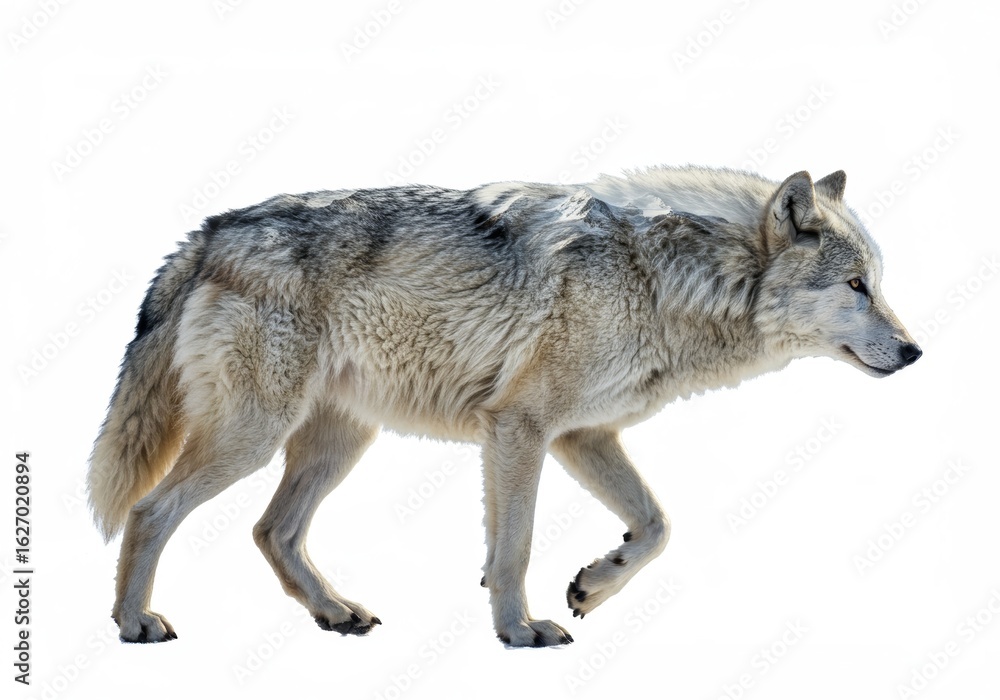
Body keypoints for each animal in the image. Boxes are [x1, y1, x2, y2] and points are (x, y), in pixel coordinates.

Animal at [88, 165, 921, 647]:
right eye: (856, 287)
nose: (916, 353)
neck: (668, 282)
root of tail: (209, 231)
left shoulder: (584, 436)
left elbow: (655, 526)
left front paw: (595, 581)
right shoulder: (520, 429)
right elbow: (515, 547)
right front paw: (517, 630)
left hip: (336, 444)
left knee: (272, 531)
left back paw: (336, 612)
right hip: (255, 438)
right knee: (151, 511)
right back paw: (133, 622)